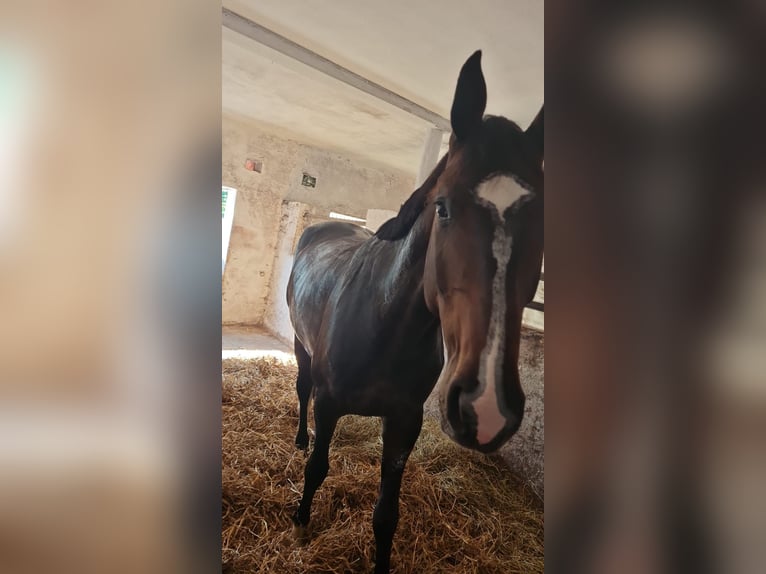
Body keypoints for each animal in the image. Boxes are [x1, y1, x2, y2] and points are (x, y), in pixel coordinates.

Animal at [288, 50, 544, 574]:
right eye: (442, 207)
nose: (486, 406)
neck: (384, 323)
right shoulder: (329, 403)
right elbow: (318, 466)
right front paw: (302, 523)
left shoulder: (405, 424)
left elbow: (387, 514)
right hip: (301, 348)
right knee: (301, 391)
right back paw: (300, 438)